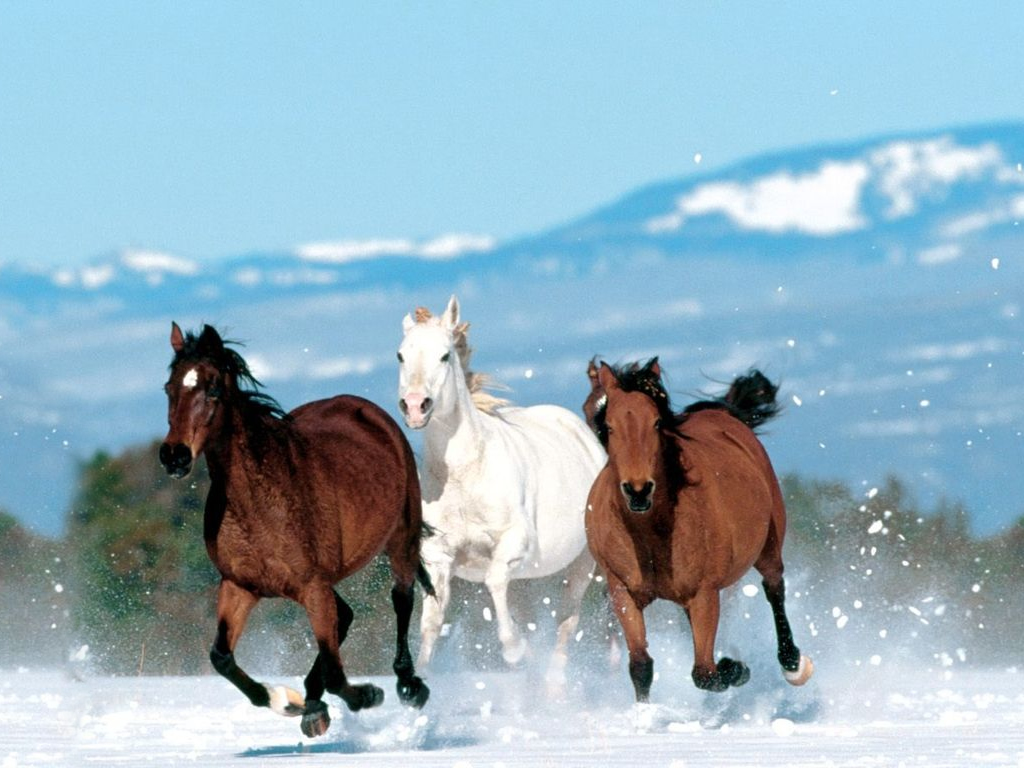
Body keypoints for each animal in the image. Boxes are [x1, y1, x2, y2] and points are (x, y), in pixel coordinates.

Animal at [157, 325, 434, 741]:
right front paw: (288, 702)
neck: (259, 502)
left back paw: (409, 686)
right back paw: (313, 705)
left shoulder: (311, 585)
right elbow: (221, 658)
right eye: (169, 387)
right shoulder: (240, 586)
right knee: (346, 616)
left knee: (401, 599)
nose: (174, 456)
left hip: (402, 537)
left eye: (213, 388)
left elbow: (337, 673)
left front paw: (368, 694)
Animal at [395, 296, 602, 684]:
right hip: (525, 579)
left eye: (445, 355)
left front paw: (515, 651)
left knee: (566, 624)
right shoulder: (438, 557)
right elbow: (431, 624)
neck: (466, 475)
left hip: (582, 564)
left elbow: (492, 582)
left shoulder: (513, 544)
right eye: (401, 355)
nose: (415, 406)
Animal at [585, 360, 806, 704]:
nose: (638, 490)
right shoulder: (623, 592)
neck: (650, 533)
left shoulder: (704, 594)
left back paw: (792, 664)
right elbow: (641, 666)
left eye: (656, 423)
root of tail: (723, 413)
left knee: (774, 588)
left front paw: (735, 668)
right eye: (609, 426)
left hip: (768, 545)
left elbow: (704, 672)